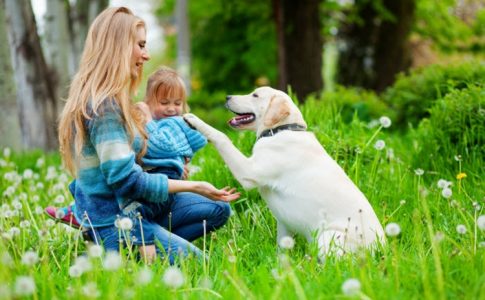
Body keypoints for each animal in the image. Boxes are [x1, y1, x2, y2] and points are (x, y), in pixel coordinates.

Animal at [183, 86, 384, 258]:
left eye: (255, 95)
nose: (227, 97)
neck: (280, 130)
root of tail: (382, 249)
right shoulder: (283, 223)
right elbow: (282, 250)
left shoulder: (248, 172)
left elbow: (222, 136)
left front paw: (194, 120)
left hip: (327, 237)